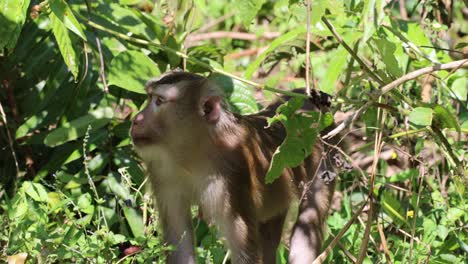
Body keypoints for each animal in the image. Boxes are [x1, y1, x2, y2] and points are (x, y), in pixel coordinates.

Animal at [131, 70, 336, 264]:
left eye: (159, 101)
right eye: (149, 97)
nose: (136, 119)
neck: (193, 154)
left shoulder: (233, 174)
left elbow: (244, 250)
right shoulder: (162, 172)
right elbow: (179, 242)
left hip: (326, 159)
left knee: (309, 219)